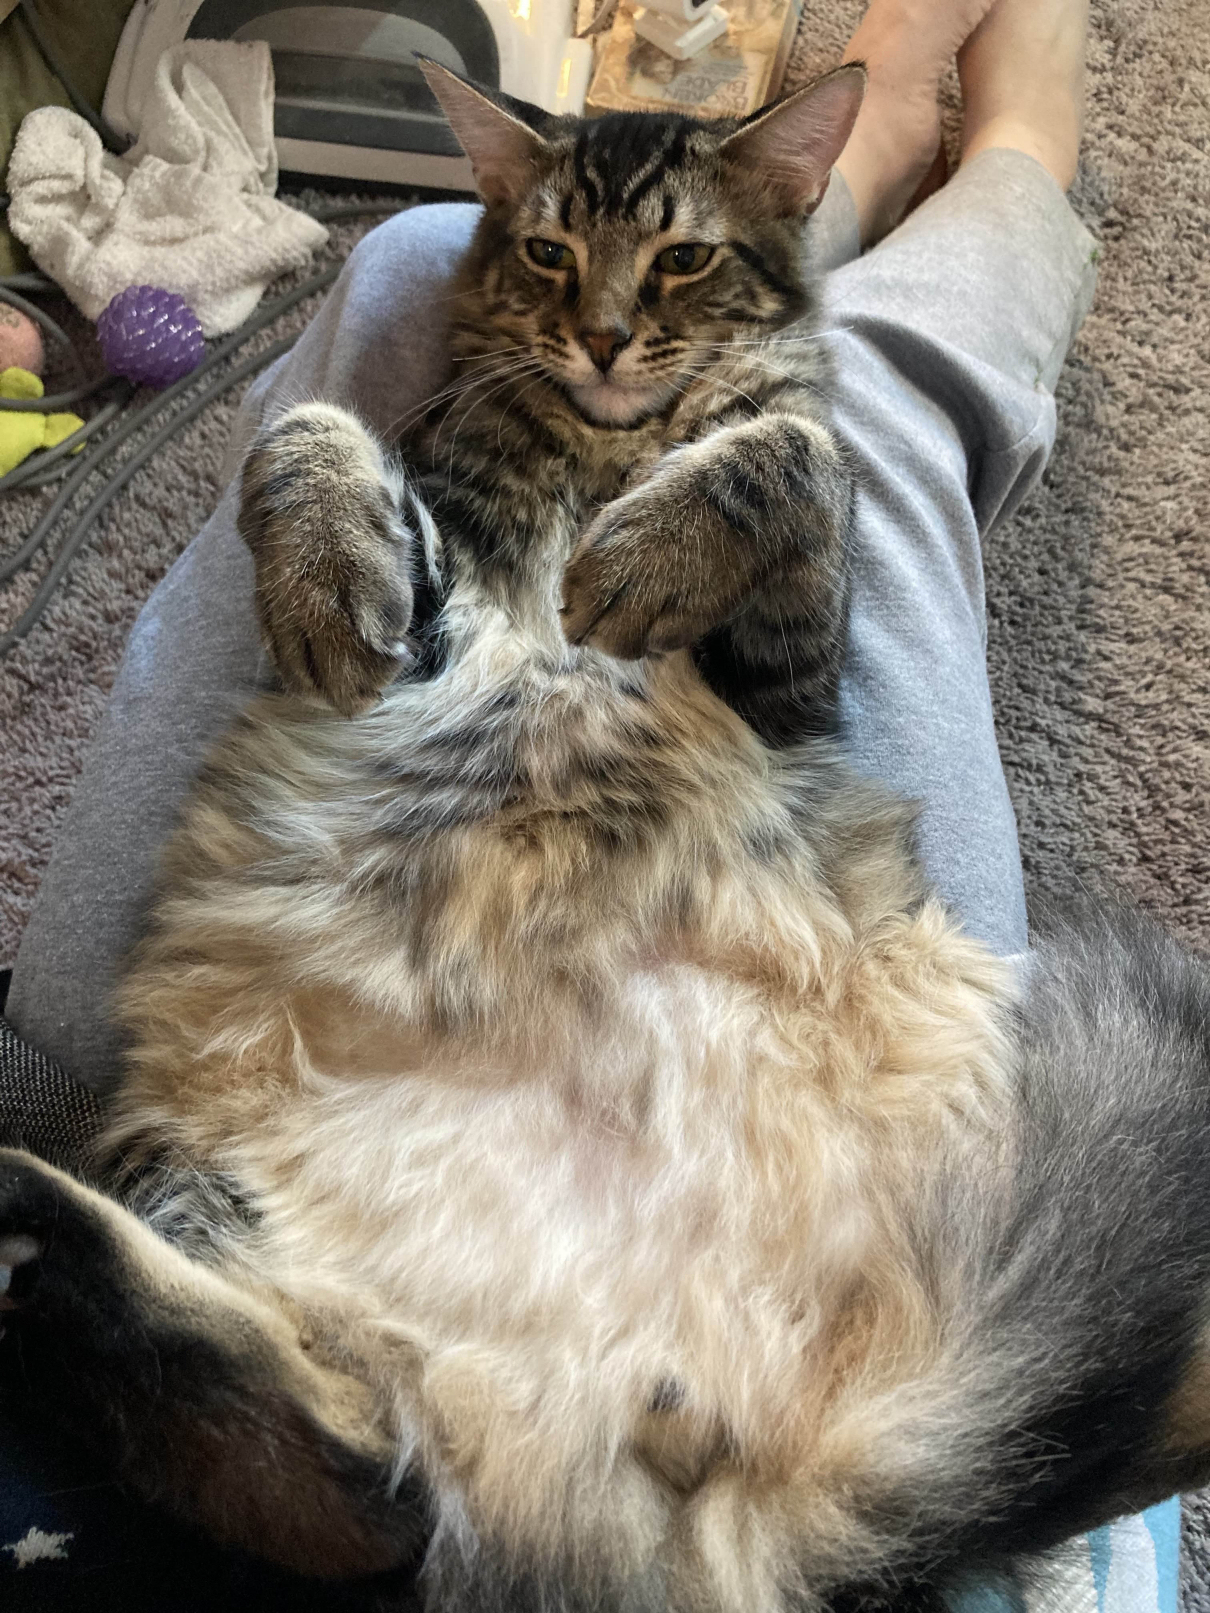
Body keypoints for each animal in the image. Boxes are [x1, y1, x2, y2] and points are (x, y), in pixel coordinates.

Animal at [2, 61, 1210, 1613]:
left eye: (681, 258)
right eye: (547, 253)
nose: (604, 338)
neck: (599, 449)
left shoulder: (787, 675)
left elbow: (791, 447)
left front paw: (640, 556)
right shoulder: (433, 562)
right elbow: (311, 425)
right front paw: (325, 584)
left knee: (351, 1490)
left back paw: (24, 1223)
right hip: (202, 1173)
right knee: (330, 1476)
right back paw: (28, 1222)